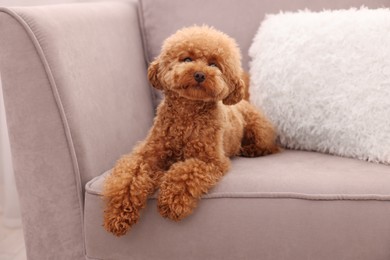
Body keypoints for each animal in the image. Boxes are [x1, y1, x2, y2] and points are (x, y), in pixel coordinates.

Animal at [102, 25, 278, 237]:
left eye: (214, 64)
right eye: (187, 59)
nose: (200, 74)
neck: (187, 116)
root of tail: (243, 100)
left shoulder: (210, 161)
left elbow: (185, 172)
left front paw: (171, 202)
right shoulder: (147, 155)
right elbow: (129, 177)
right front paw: (118, 214)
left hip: (259, 129)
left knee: (270, 147)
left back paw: (250, 150)